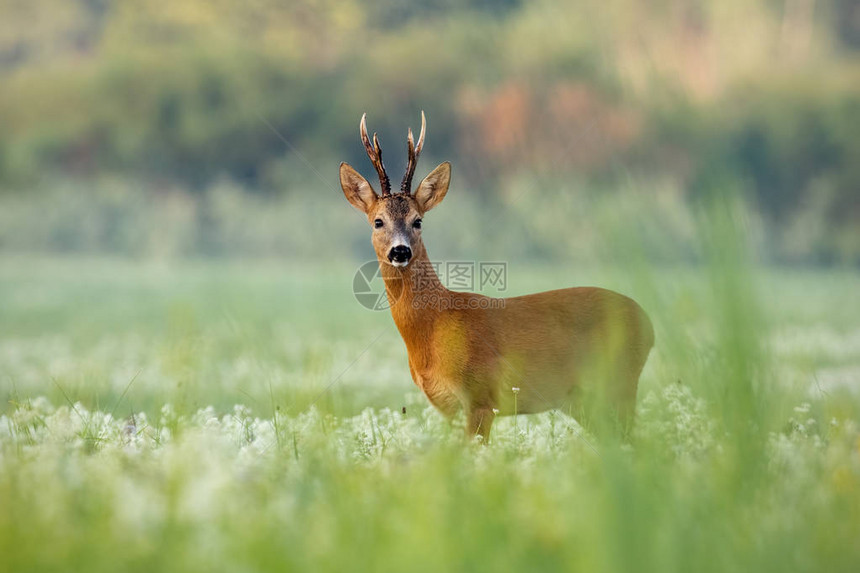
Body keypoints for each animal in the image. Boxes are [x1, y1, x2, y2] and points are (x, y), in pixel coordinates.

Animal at [340, 113, 656, 442]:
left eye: (418, 221)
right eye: (378, 221)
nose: (400, 251)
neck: (434, 326)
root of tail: (649, 325)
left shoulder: (480, 396)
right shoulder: (447, 408)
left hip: (619, 384)